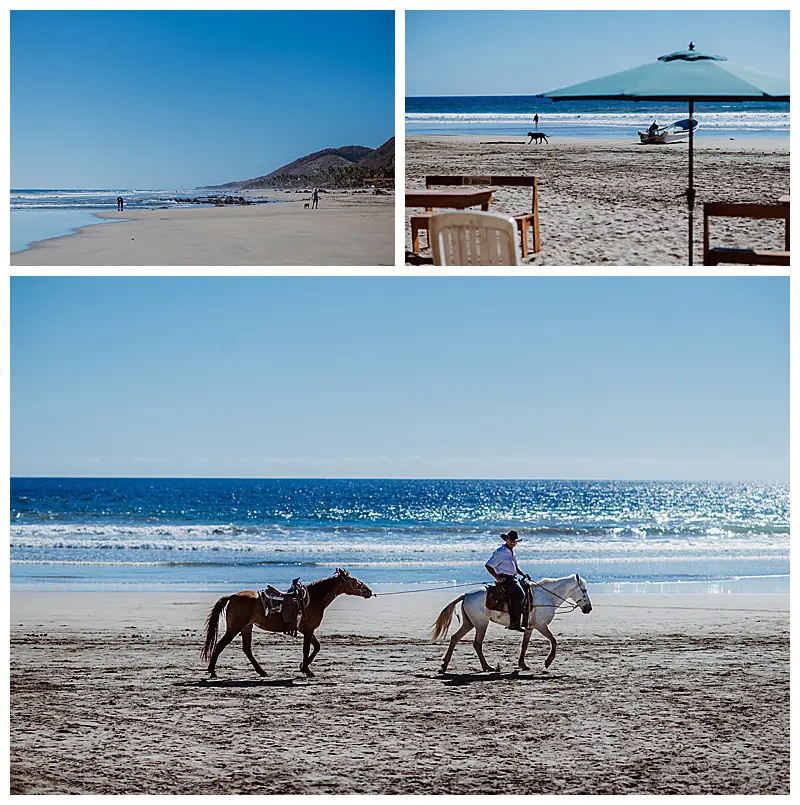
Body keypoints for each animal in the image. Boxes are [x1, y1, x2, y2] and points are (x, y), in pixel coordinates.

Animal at [202, 568, 374, 676]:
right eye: (354, 581)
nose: (369, 591)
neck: (313, 599)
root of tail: (231, 596)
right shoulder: (308, 630)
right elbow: (307, 649)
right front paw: (307, 670)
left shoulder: (308, 630)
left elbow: (317, 647)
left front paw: (303, 667)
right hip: (235, 627)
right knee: (220, 645)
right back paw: (212, 671)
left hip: (246, 627)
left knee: (247, 650)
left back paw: (261, 671)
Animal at [432, 572, 592, 672]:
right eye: (584, 591)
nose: (589, 608)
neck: (547, 596)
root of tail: (466, 595)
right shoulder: (541, 626)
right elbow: (553, 640)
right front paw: (548, 661)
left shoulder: (530, 627)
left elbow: (524, 645)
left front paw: (522, 664)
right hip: (481, 624)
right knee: (477, 644)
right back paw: (487, 667)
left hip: (469, 623)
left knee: (455, 638)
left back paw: (444, 665)